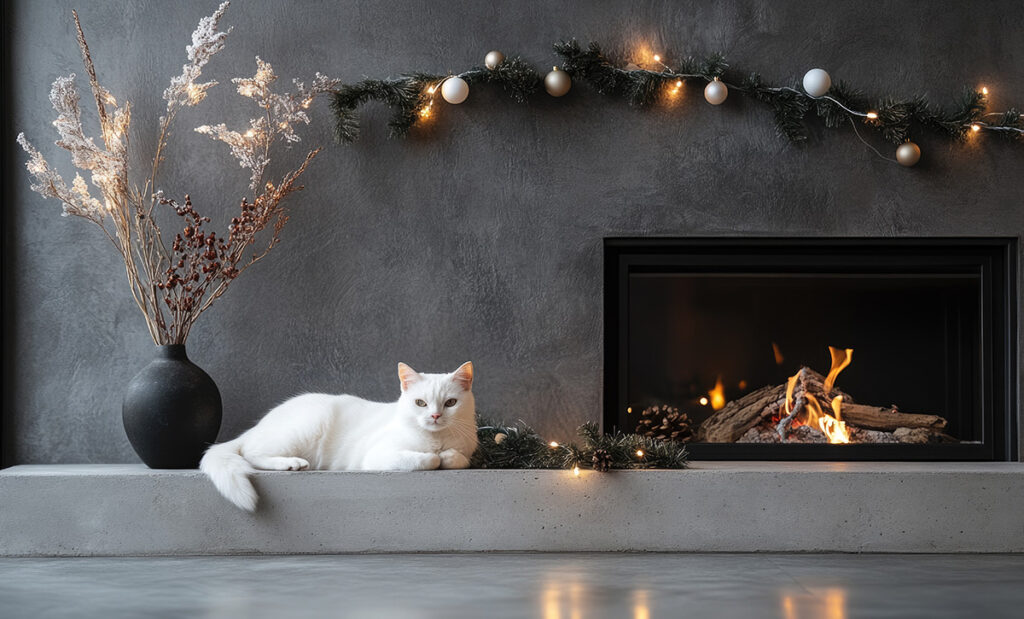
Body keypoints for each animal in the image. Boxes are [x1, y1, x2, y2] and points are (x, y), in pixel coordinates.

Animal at [201, 360, 477, 510]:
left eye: (450, 403)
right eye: (420, 403)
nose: (435, 416)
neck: (437, 439)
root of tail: (256, 427)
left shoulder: (467, 451)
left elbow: (459, 458)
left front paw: (448, 455)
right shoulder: (378, 456)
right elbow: (428, 459)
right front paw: (436, 456)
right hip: (305, 426)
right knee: (250, 453)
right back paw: (291, 464)